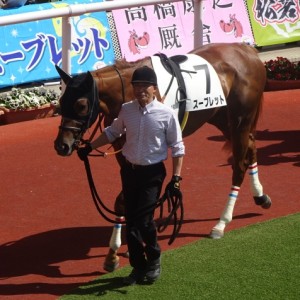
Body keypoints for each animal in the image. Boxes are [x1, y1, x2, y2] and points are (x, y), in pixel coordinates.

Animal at [54, 42, 272, 272]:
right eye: (60, 101)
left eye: (81, 105)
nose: (61, 145)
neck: (129, 93)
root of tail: (247, 49)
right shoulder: (124, 151)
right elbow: (124, 200)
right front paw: (114, 253)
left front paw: (122, 248)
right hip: (221, 117)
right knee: (250, 149)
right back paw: (260, 196)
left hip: (241, 118)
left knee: (239, 164)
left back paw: (222, 222)